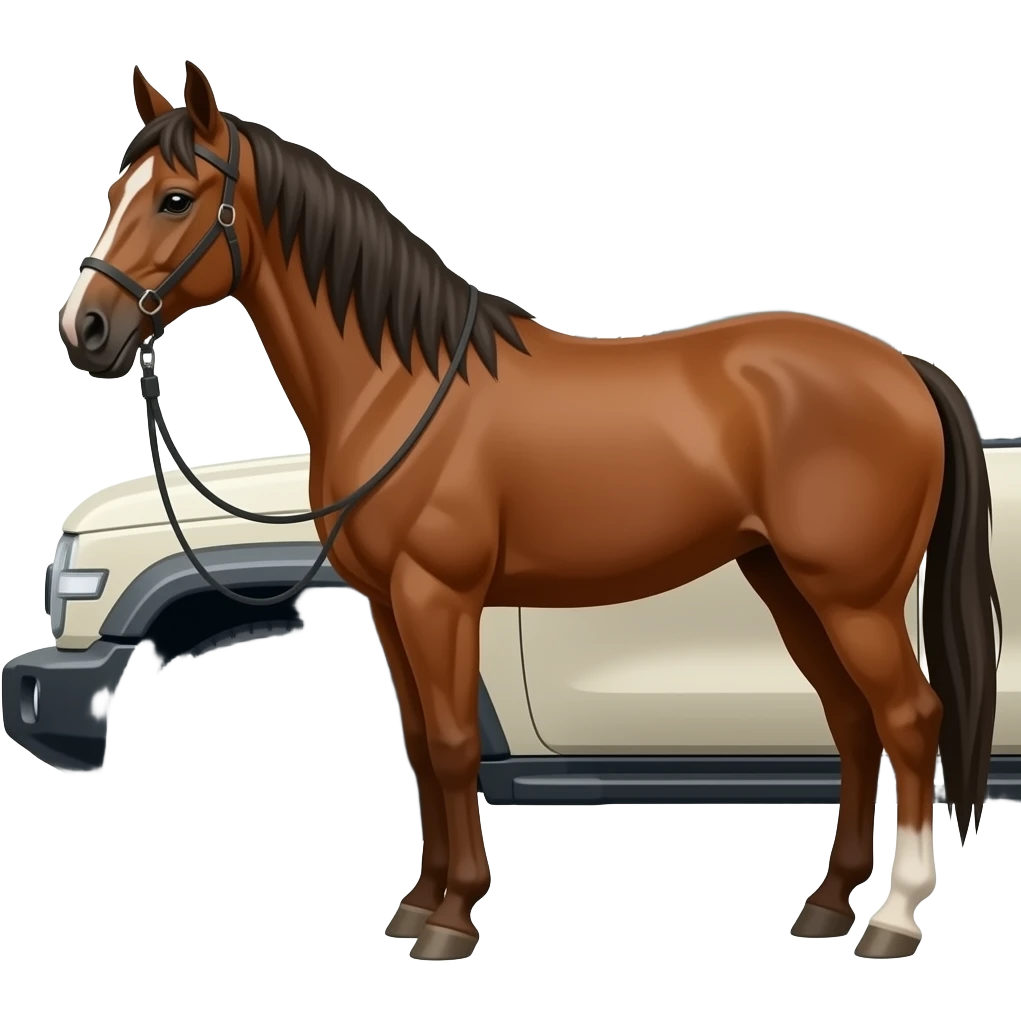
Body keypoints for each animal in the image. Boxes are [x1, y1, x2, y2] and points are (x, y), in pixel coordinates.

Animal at [57, 61, 1001, 962]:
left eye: (176, 199)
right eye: (112, 194)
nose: (86, 330)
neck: (398, 387)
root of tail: (902, 369)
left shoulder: (439, 596)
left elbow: (450, 743)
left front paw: (453, 917)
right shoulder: (389, 606)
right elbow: (418, 747)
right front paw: (417, 904)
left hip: (852, 596)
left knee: (909, 718)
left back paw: (893, 918)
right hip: (788, 586)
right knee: (850, 723)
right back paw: (826, 904)